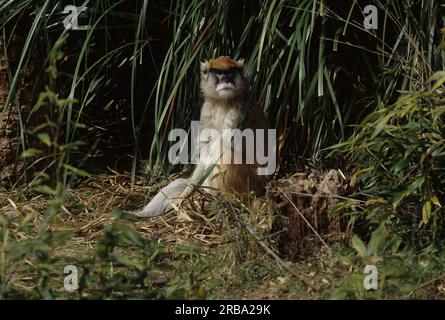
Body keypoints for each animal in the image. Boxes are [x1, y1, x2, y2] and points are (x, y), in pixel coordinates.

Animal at [130, 57, 272, 218]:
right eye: (219, 72)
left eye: (231, 71)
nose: (226, 80)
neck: (222, 102)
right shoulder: (207, 110)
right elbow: (205, 153)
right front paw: (184, 196)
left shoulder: (240, 111)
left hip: (249, 183)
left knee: (222, 147)